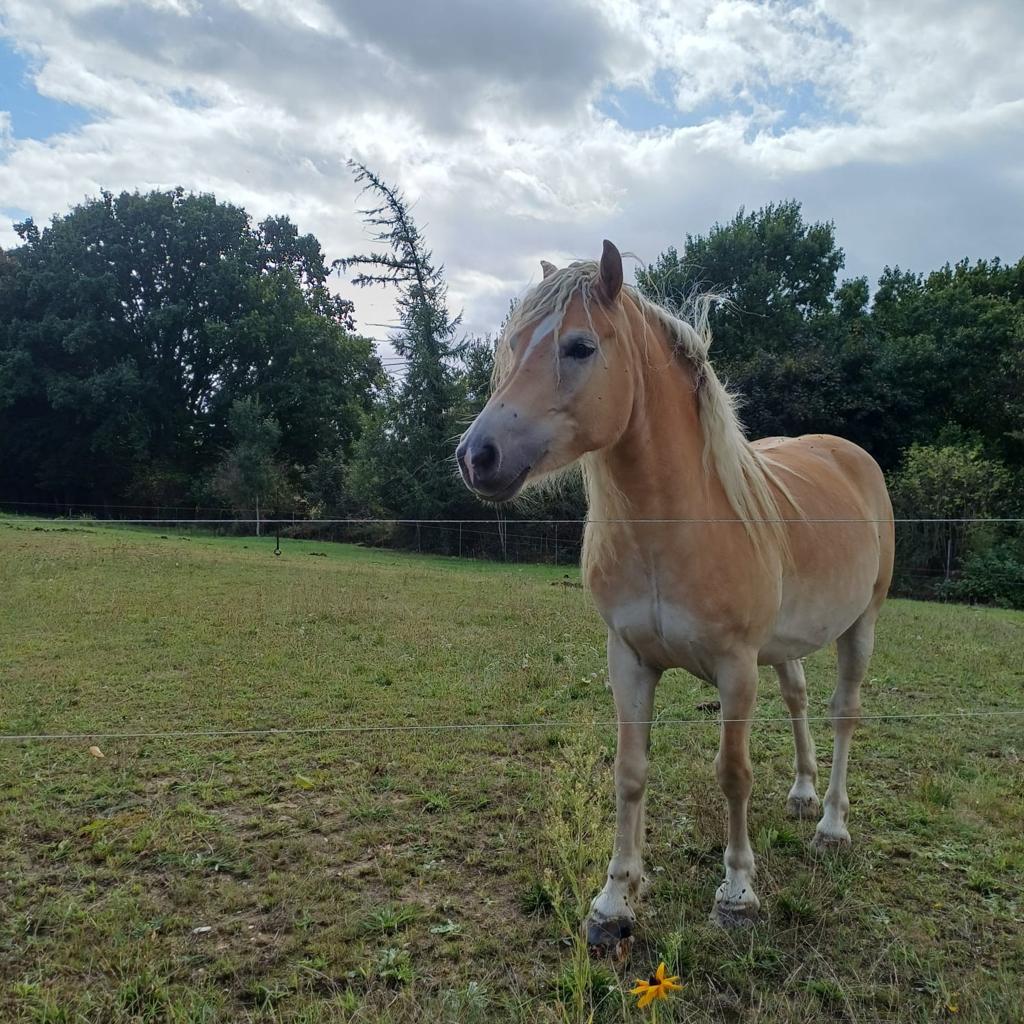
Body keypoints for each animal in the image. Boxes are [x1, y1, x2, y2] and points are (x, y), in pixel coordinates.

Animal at [456, 241, 894, 949]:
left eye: (579, 346)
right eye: (513, 343)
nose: (477, 456)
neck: (675, 527)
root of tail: (848, 455)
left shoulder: (736, 668)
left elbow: (733, 774)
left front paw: (737, 893)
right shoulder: (629, 660)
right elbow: (630, 773)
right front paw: (614, 900)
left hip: (863, 624)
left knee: (842, 714)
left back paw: (831, 824)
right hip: (787, 644)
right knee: (799, 698)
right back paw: (802, 795)